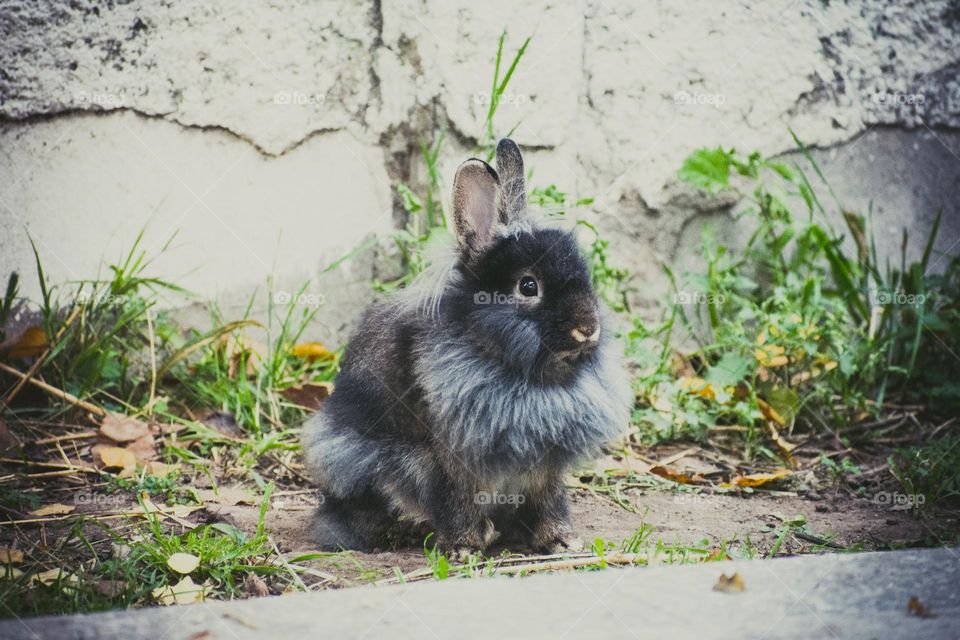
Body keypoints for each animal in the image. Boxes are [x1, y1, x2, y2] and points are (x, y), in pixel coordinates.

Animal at [300, 138, 633, 556]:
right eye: (528, 286)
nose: (587, 328)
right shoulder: (453, 461)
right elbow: (459, 501)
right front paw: (464, 548)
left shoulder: (544, 468)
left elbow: (549, 500)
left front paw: (561, 541)